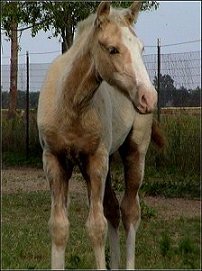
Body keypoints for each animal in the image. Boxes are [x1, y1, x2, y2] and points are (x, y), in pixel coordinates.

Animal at [37, 1, 161, 270]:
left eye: (141, 48)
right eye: (112, 49)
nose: (148, 97)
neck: (71, 105)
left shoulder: (96, 160)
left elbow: (96, 226)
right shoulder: (54, 160)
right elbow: (59, 226)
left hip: (133, 152)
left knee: (129, 211)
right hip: (100, 161)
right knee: (113, 209)